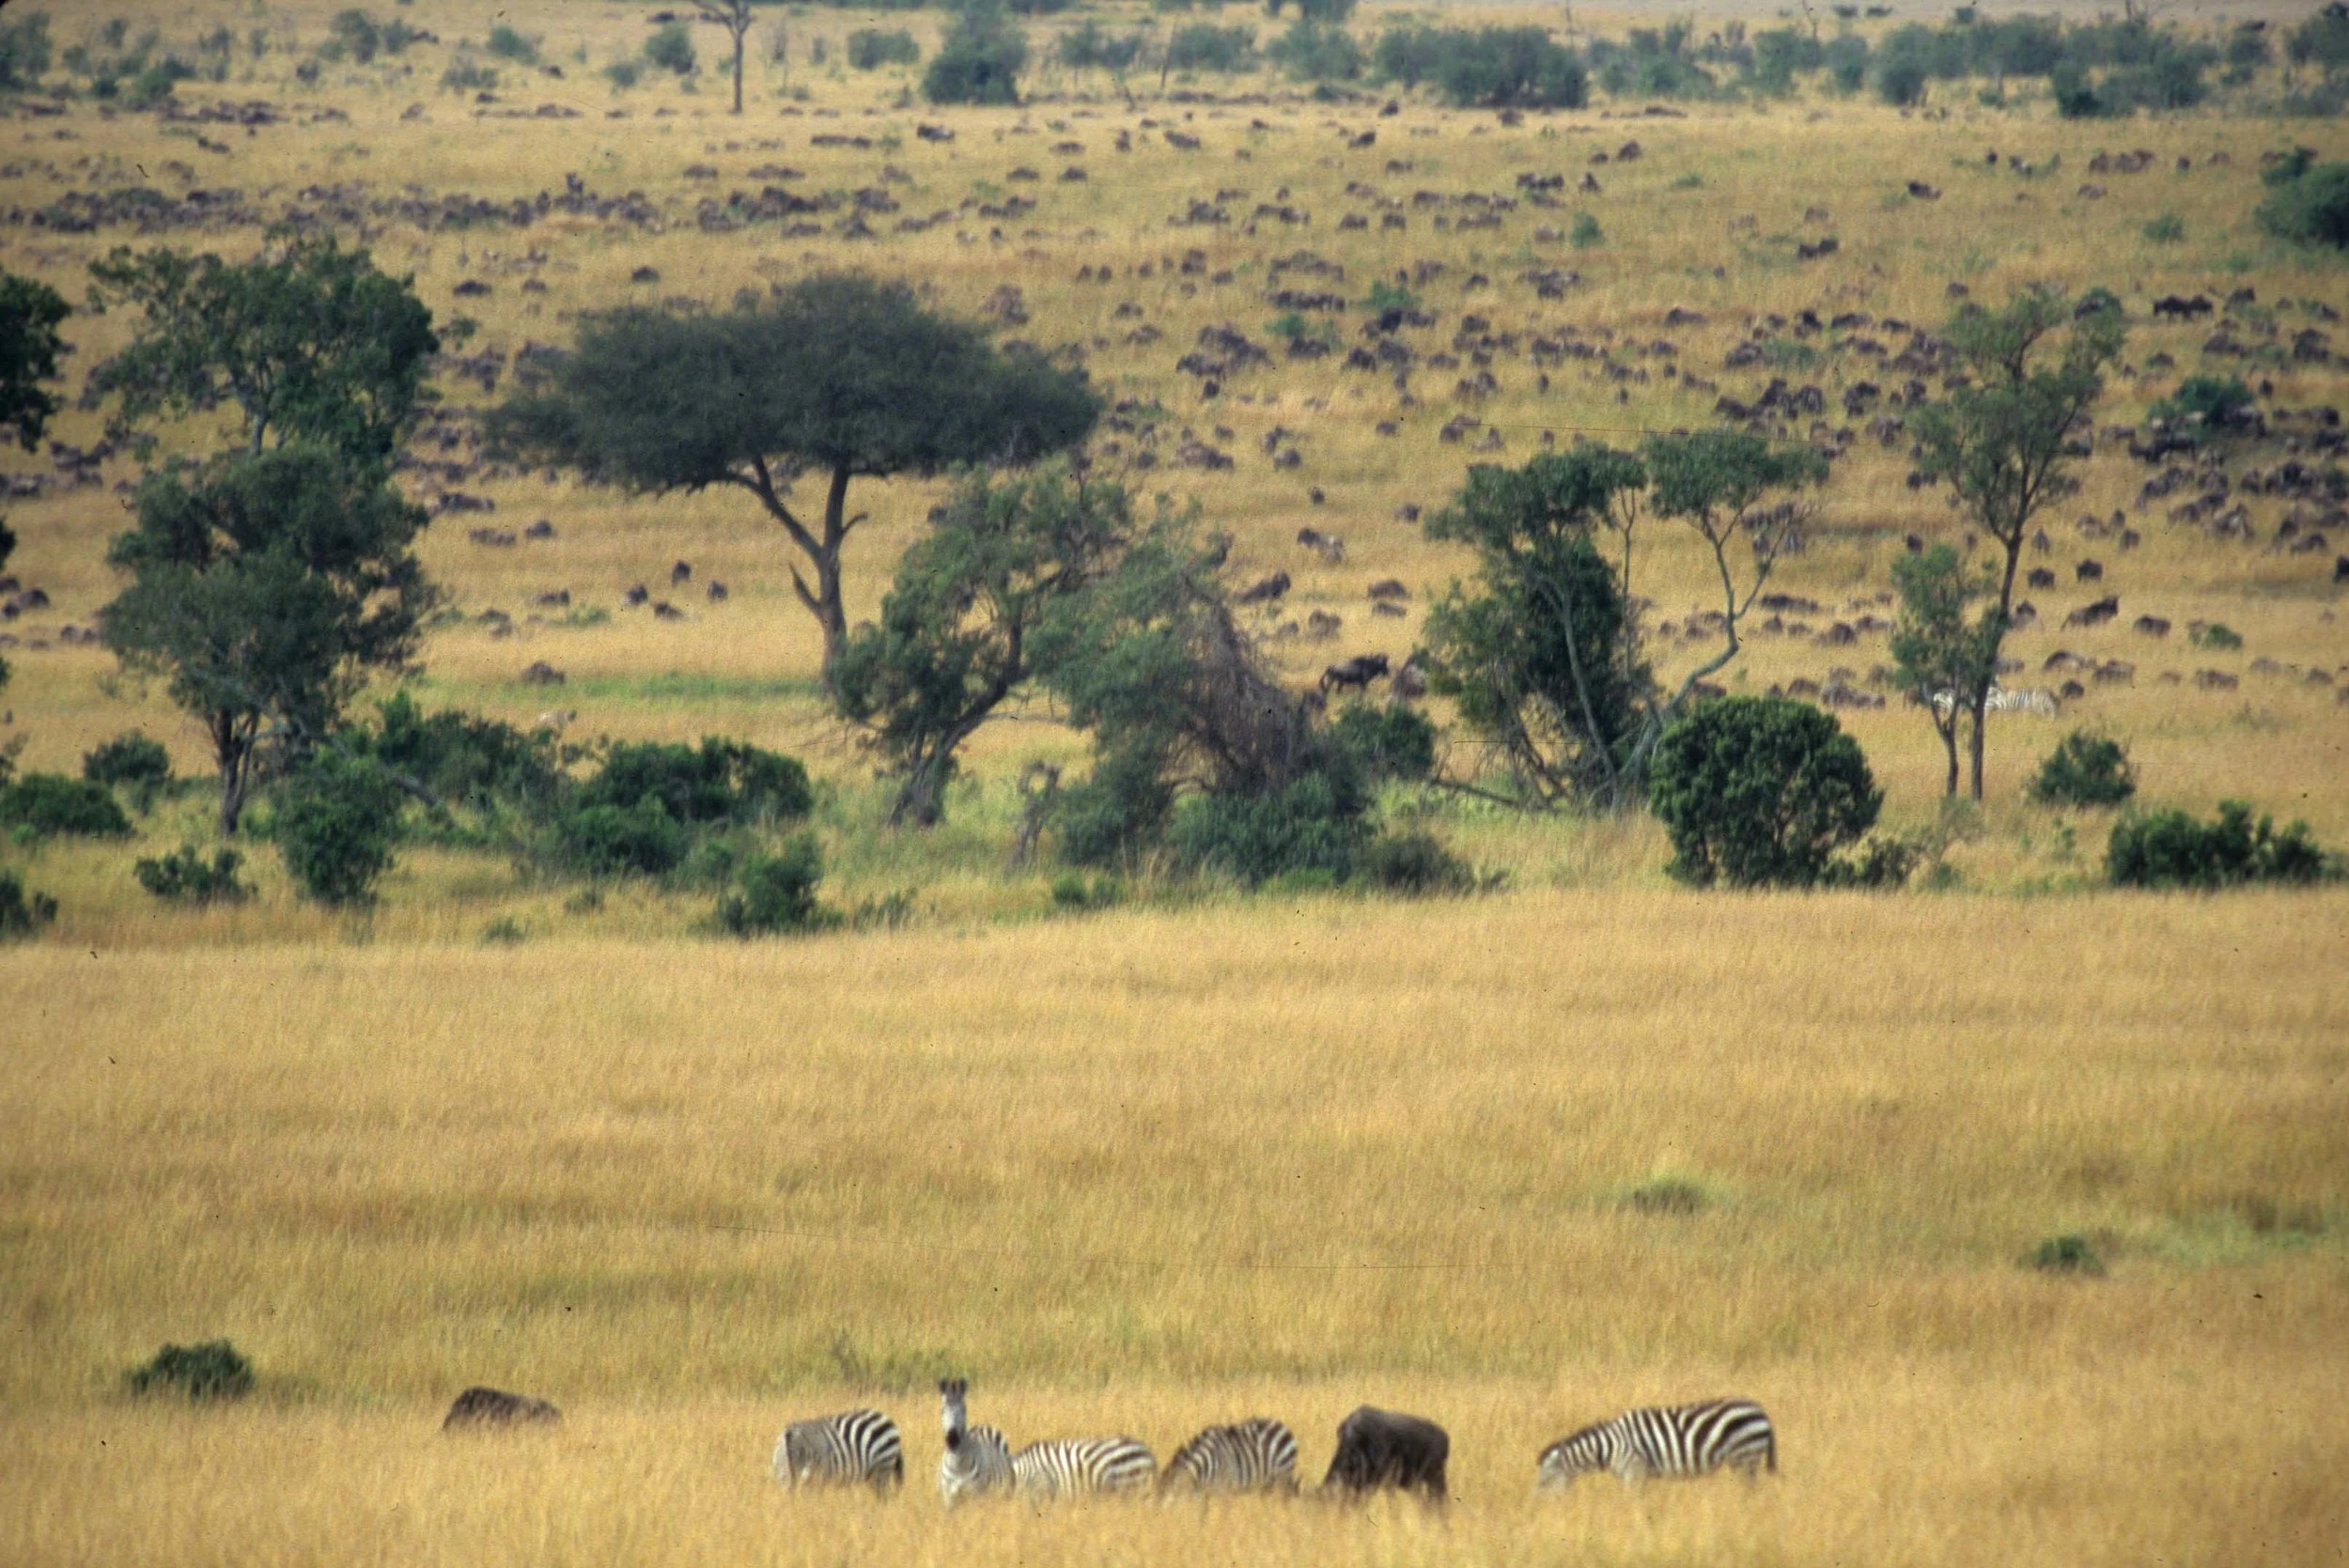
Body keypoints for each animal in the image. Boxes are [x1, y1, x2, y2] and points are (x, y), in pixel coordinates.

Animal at [937, 1378, 1014, 1507]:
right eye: (942, 1410)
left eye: (964, 1410)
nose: (953, 1440)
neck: (958, 1464)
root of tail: (981, 1428)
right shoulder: (949, 1498)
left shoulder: (975, 1494)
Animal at [1536, 1398, 1776, 1489]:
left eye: (1543, 1482)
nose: (1537, 1510)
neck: (1610, 1447)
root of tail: (1761, 1411)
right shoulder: (1637, 1475)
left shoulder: (1634, 1471)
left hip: (1746, 1456)